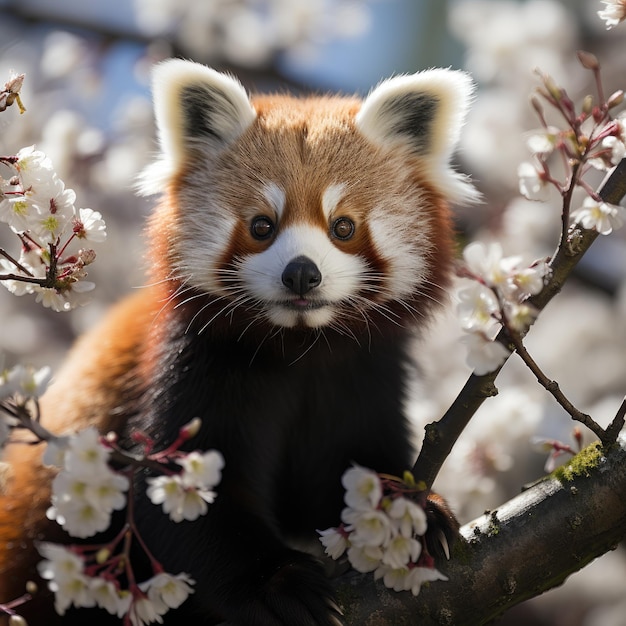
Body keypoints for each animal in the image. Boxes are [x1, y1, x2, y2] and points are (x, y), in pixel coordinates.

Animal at [0, 59, 472, 624]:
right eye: (262, 226)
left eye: (343, 227)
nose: (301, 274)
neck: (299, 349)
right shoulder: (191, 366)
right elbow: (180, 502)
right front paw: (280, 583)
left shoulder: (362, 376)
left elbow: (351, 467)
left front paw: (409, 511)